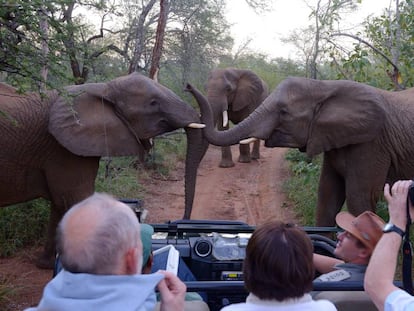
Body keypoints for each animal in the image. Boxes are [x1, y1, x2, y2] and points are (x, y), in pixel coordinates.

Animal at [0, 74, 207, 270]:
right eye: (153, 103)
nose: (182, 223)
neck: (103, 88)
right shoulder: (62, 148)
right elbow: (76, 200)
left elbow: (60, 204)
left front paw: (47, 265)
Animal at [185, 77, 414, 229]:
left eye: (284, 112)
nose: (187, 86)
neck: (325, 87)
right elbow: (327, 195)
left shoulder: (371, 143)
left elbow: (359, 199)